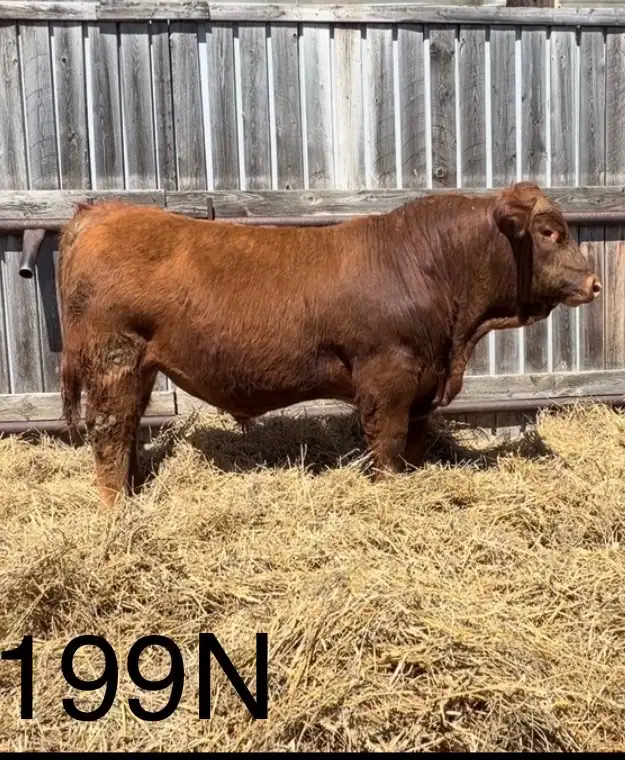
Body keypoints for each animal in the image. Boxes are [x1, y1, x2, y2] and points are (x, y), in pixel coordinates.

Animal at [57, 181, 601, 506]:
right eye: (549, 232)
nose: (594, 283)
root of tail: (100, 212)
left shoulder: (424, 385)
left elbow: (413, 445)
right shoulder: (387, 378)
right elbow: (387, 444)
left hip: (139, 367)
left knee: (127, 429)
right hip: (114, 358)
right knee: (109, 430)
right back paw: (116, 508)